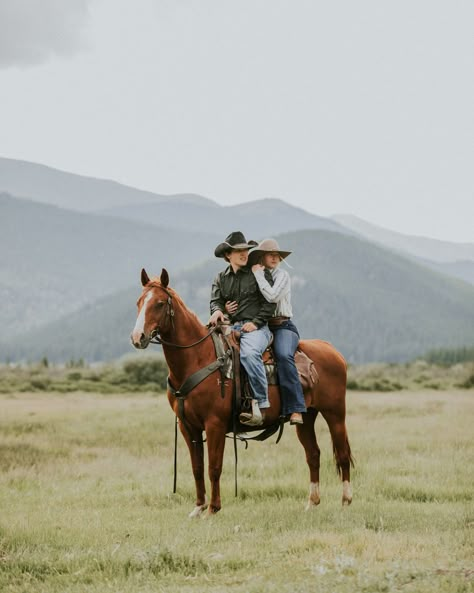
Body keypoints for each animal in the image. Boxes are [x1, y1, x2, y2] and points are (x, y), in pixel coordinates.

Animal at [130, 266, 352, 516]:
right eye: (139, 302)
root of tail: (333, 351)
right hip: (306, 417)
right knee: (313, 455)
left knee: (342, 454)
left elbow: (214, 467)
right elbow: (197, 467)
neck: (198, 358)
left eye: (159, 303)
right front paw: (198, 508)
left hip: (335, 414)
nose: (137, 337)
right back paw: (312, 502)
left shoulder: (214, 424)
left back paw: (346, 500)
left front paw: (213, 509)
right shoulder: (188, 426)